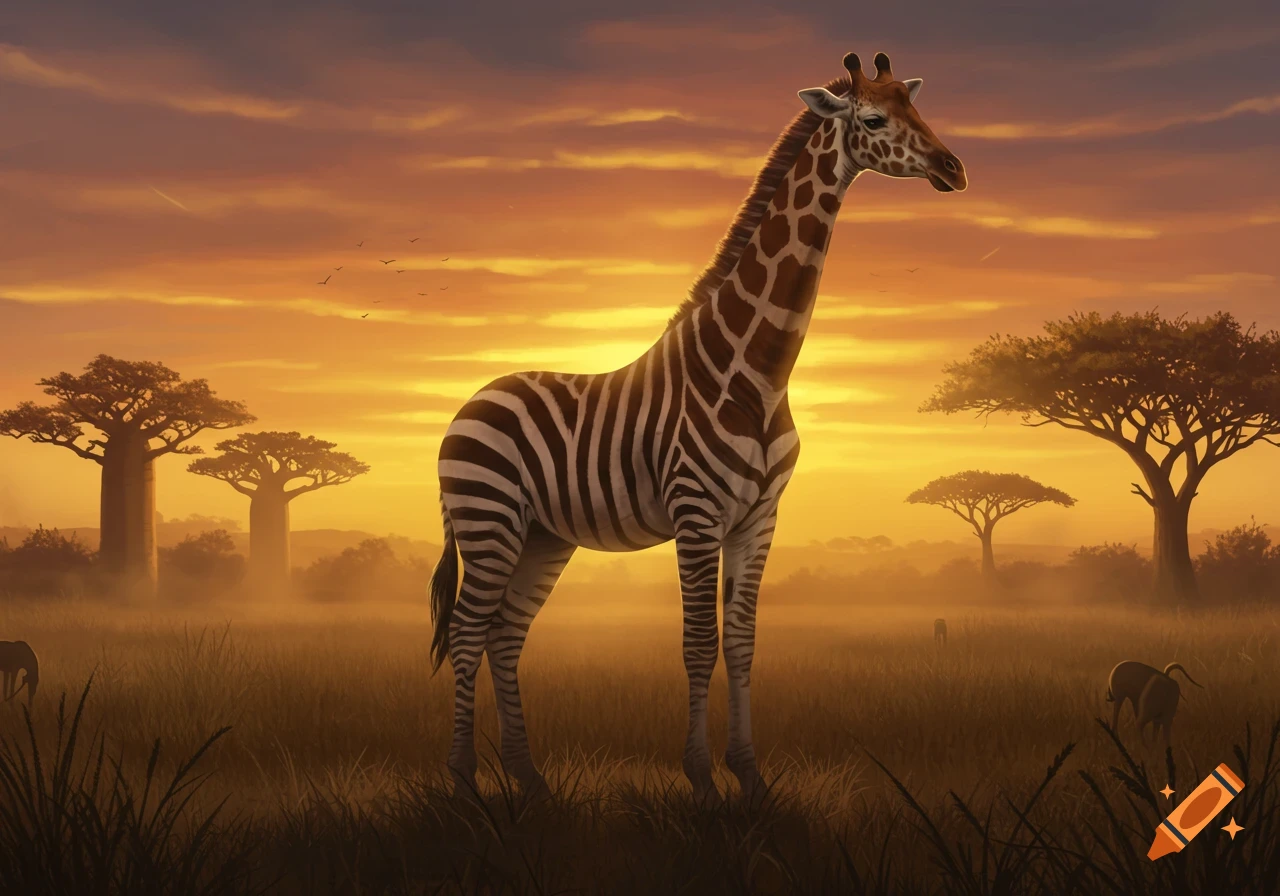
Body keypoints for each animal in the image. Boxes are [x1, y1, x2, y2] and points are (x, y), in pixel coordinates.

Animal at [429, 50, 967, 805]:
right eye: (870, 119)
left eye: (917, 109)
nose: (954, 168)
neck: (758, 375)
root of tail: (470, 401)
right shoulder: (697, 513)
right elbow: (697, 642)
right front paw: (703, 779)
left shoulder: (760, 517)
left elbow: (740, 642)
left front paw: (751, 776)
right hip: (488, 521)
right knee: (467, 632)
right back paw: (463, 782)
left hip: (542, 536)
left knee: (504, 635)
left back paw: (528, 779)